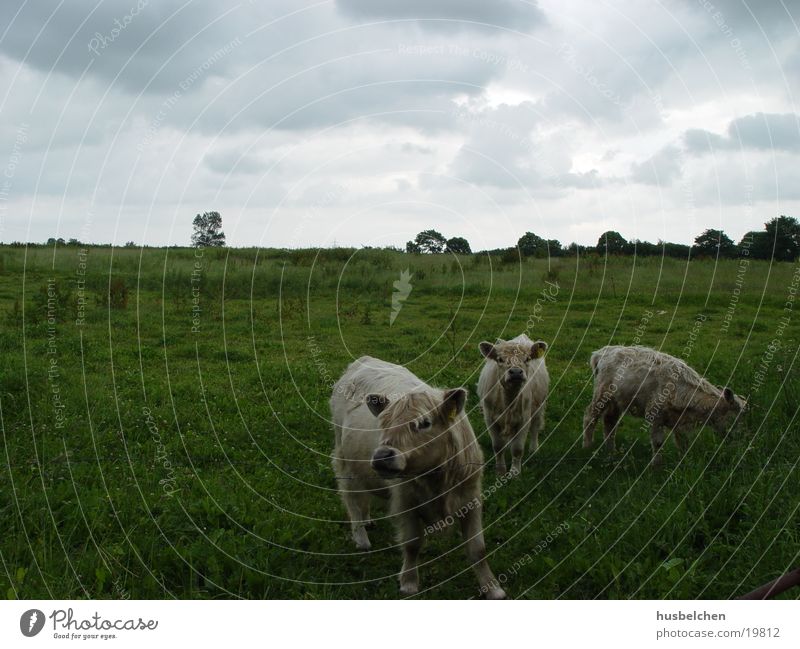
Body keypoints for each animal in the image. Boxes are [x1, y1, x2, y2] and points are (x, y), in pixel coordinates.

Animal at [332, 356, 506, 600]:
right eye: (383, 423)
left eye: (424, 423)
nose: (382, 457)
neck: (436, 480)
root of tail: (364, 360)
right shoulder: (405, 502)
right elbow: (412, 544)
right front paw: (409, 583)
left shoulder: (471, 498)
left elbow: (477, 549)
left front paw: (493, 588)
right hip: (344, 460)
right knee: (352, 498)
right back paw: (361, 537)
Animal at [476, 332, 552, 474]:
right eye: (500, 359)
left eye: (527, 359)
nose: (516, 372)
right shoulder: (490, 419)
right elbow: (498, 446)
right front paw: (500, 471)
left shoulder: (524, 419)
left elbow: (517, 449)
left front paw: (514, 473)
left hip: (539, 406)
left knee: (535, 427)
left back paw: (534, 449)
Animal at [584, 346, 748, 464]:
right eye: (735, 416)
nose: (741, 439)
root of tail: (603, 352)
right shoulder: (655, 416)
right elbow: (658, 443)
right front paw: (656, 467)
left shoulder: (679, 422)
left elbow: (683, 443)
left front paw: (683, 462)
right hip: (602, 395)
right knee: (590, 417)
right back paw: (587, 446)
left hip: (616, 401)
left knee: (609, 422)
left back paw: (611, 452)